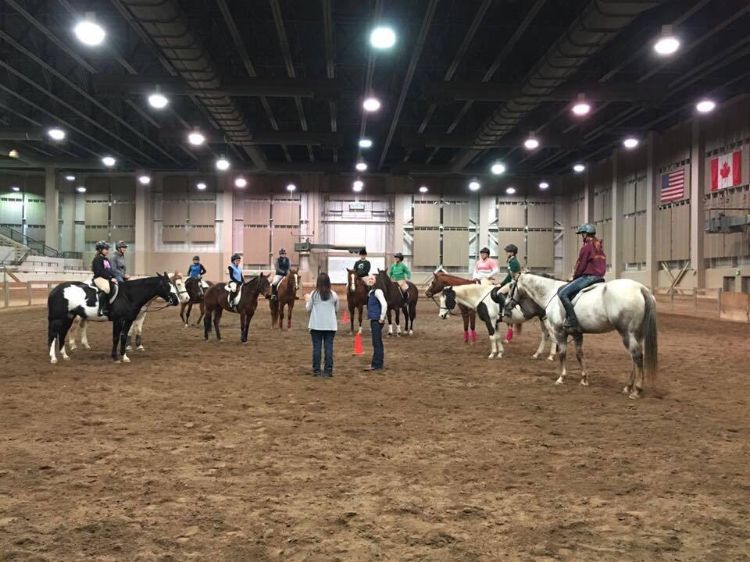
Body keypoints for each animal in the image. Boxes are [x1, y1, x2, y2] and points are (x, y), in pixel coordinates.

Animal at [47, 272, 179, 364]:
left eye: (173, 285)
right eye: (167, 285)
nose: (176, 301)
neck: (128, 295)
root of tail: (56, 289)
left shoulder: (128, 320)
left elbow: (124, 337)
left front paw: (124, 357)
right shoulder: (118, 320)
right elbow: (116, 338)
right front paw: (115, 357)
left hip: (68, 317)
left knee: (62, 334)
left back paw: (65, 356)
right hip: (58, 318)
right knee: (53, 335)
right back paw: (53, 358)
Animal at [506, 272, 656, 396]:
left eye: (511, 286)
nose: (507, 305)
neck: (550, 293)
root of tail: (640, 288)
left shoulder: (560, 332)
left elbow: (562, 354)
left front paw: (561, 377)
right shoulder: (577, 334)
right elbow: (579, 354)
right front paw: (584, 379)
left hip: (627, 333)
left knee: (636, 356)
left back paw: (636, 390)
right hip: (636, 334)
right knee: (634, 359)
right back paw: (628, 387)